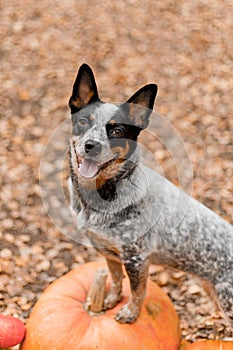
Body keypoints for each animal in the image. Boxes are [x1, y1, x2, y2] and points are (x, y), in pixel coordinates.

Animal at [68, 63, 233, 328]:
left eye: (117, 130)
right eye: (83, 121)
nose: (91, 145)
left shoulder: (136, 258)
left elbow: (137, 291)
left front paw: (130, 313)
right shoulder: (109, 253)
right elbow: (115, 279)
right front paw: (111, 299)